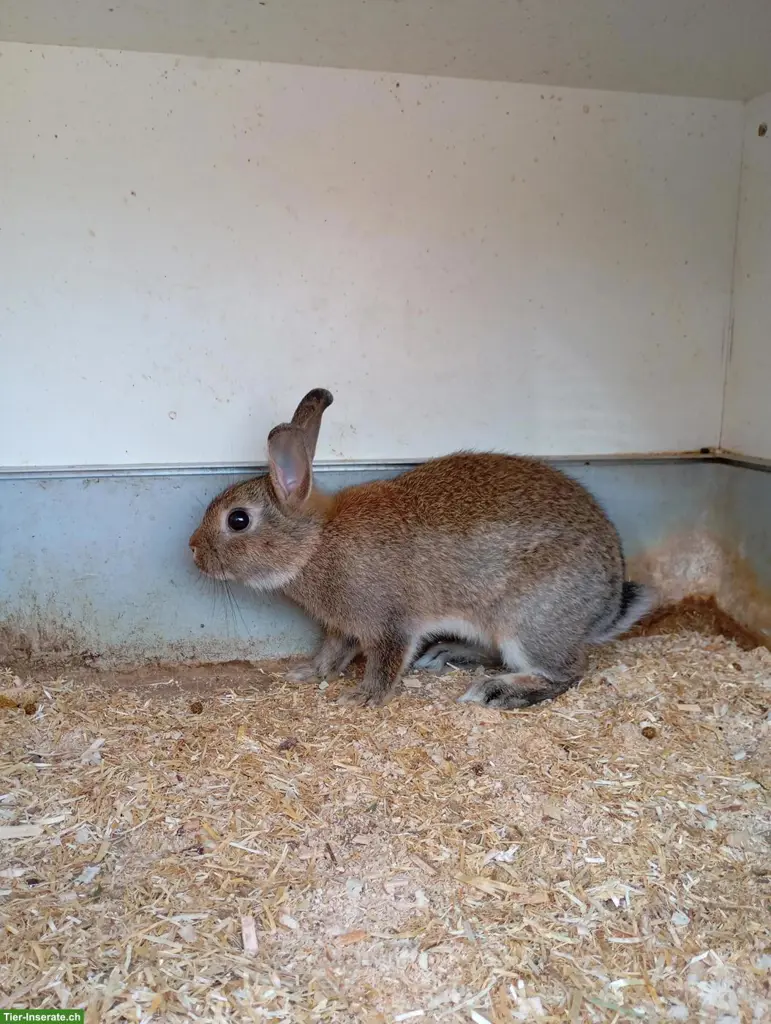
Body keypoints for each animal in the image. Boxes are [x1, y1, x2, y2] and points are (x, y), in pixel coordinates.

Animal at [189, 388, 656, 709]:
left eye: (238, 520)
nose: (192, 551)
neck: (316, 542)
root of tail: (604, 609)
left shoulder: (390, 621)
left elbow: (386, 659)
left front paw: (362, 698)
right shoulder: (344, 625)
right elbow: (333, 651)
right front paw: (308, 672)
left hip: (529, 622)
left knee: (568, 671)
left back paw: (496, 692)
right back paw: (450, 653)